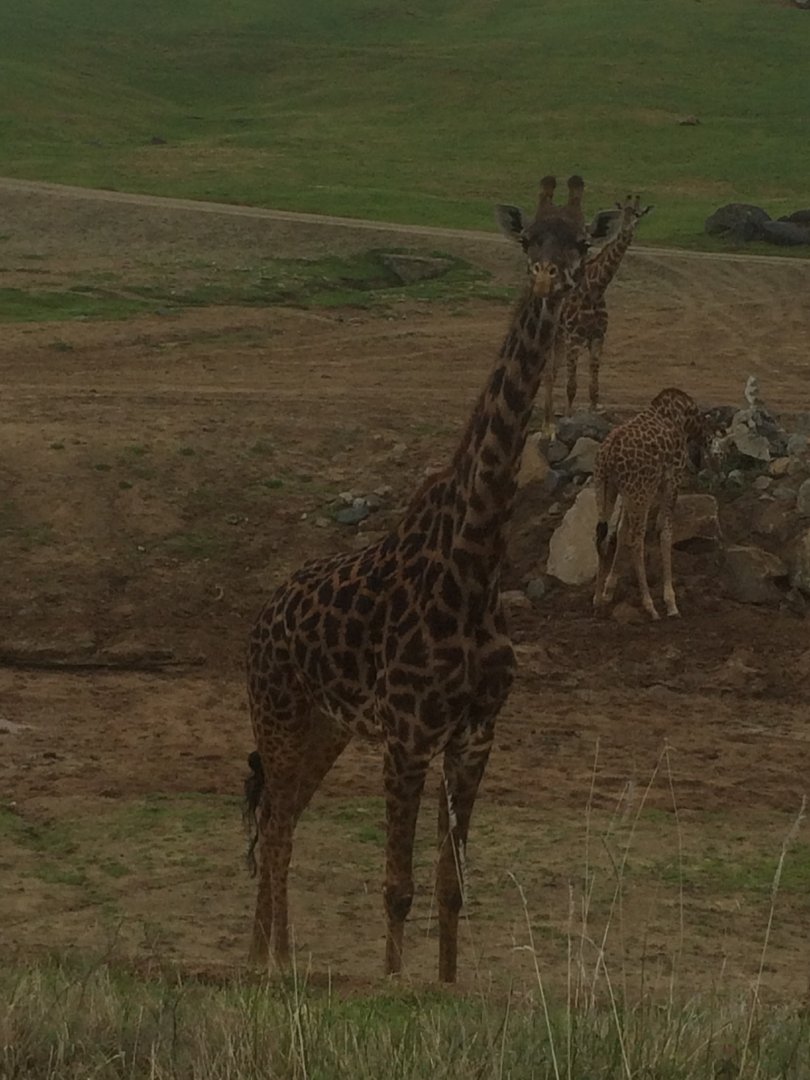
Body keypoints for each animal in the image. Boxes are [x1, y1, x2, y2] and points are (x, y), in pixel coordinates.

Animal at [243, 178, 590, 983]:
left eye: (583, 241)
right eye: (529, 239)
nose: (549, 283)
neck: (475, 561)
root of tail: (262, 617)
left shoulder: (475, 736)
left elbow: (451, 884)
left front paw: (448, 983)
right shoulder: (407, 737)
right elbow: (398, 885)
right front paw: (394, 983)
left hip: (326, 727)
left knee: (280, 817)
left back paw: (273, 955)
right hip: (277, 716)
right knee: (271, 824)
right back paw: (267, 962)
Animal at [541, 194, 653, 435]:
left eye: (638, 215)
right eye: (623, 214)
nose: (628, 230)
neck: (596, 289)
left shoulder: (598, 336)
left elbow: (594, 384)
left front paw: (593, 414)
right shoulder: (575, 337)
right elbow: (571, 385)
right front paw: (569, 417)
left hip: (561, 338)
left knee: (553, 371)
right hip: (555, 336)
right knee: (548, 373)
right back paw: (548, 423)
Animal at [592, 387, 722, 621]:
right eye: (721, 450)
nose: (718, 466)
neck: (686, 420)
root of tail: (608, 456)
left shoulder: (627, 493)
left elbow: (621, 531)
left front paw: (608, 591)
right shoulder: (671, 481)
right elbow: (665, 533)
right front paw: (671, 603)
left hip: (606, 487)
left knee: (602, 536)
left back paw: (597, 603)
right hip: (640, 493)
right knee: (636, 541)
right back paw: (650, 606)